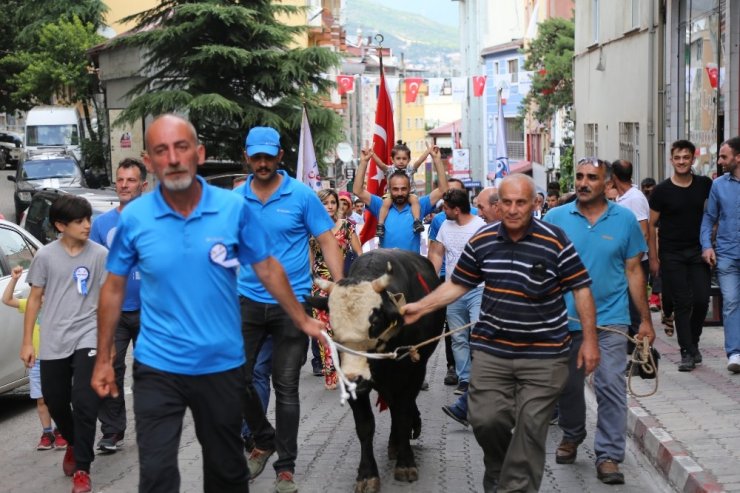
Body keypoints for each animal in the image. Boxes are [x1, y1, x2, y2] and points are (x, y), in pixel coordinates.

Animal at [308, 250, 446, 492]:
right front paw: (367, 474)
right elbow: (365, 426)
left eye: (375, 322)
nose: (355, 379)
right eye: (332, 326)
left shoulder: (411, 373)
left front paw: (405, 463)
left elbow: (402, 414)